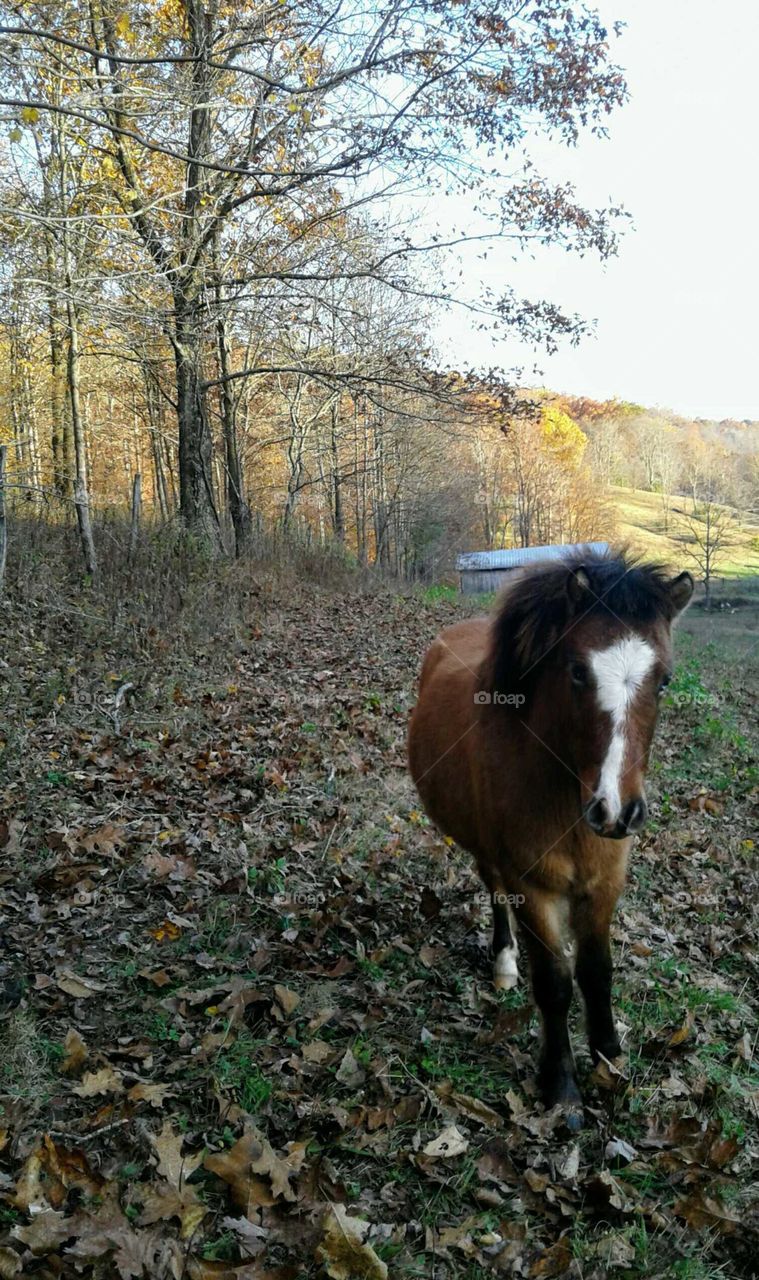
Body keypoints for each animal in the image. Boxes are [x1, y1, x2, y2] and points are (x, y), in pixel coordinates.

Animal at [408, 549, 693, 1127]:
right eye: (578, 672)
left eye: (665, 680)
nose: (616, 810)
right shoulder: (534, 887)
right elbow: (556, 984)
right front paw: (561, 1086)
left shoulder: (604, 883)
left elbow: (597, 972)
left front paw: (609, 1060)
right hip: (490, 856)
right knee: (494, 891)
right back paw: (503, 962)